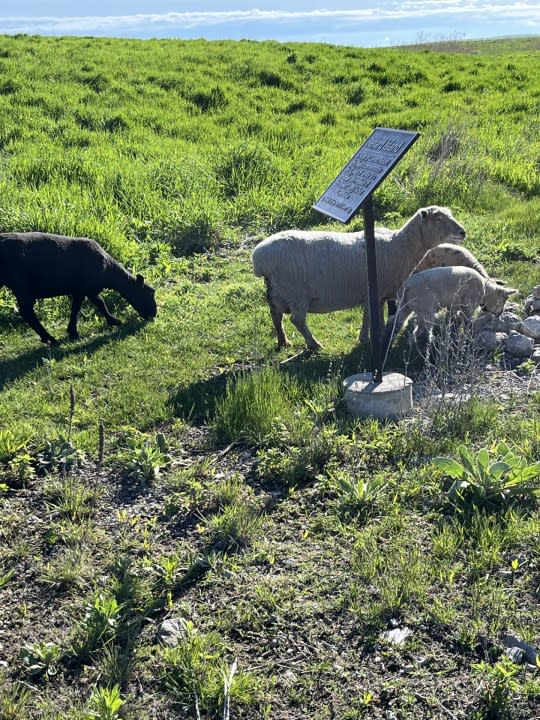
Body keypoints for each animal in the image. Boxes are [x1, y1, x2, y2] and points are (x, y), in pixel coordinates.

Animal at [0, 231, 156, 344]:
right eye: (148, 294)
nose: (154, 314)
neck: (108, 271)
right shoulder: (85, 288)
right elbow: (82, 307)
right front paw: (74, 332)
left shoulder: (86, 289)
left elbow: (98, 304)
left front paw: (112, 321)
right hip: (21, 285)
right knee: (27, 312)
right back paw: (50, 339)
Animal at [251, 204, 466, 350]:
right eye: (438, 219)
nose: (463, 232)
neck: (402, 245)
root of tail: (258, 258)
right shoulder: (376, 290)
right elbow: (373, 316)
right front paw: (373, 337)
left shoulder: (375, 293)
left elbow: (371, 315)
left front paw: (369, 336)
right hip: (296, 294)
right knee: (297, 320)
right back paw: (313, 344)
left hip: (277, 292)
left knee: (275, 315)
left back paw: (283, 341)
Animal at [382, 266, 516, 352]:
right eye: (505, 299)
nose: (500, 314)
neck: (485, 290)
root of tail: (406, 287)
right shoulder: (469, 304)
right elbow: (467, 323)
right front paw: (465, 339)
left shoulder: (454, 304)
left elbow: (451, 319)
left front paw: (452, 331)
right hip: (426, 307)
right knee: (425, 331)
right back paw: (429, 346)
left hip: (407, 306)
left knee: (398, 323)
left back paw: (393, 343)